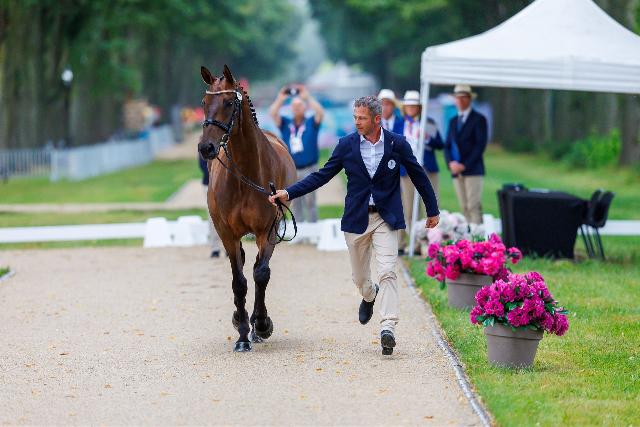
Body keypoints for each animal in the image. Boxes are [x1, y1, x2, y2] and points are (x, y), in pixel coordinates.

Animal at [196, 65, 296, 352]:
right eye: (204, 103)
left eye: (229, 103)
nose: (205, 147)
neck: (245, 175)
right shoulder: (226, 233)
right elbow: (238, 282)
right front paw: (241, 335)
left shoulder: (268, 230)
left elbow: (261, 274)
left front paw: (261, 324)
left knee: (258, 269)